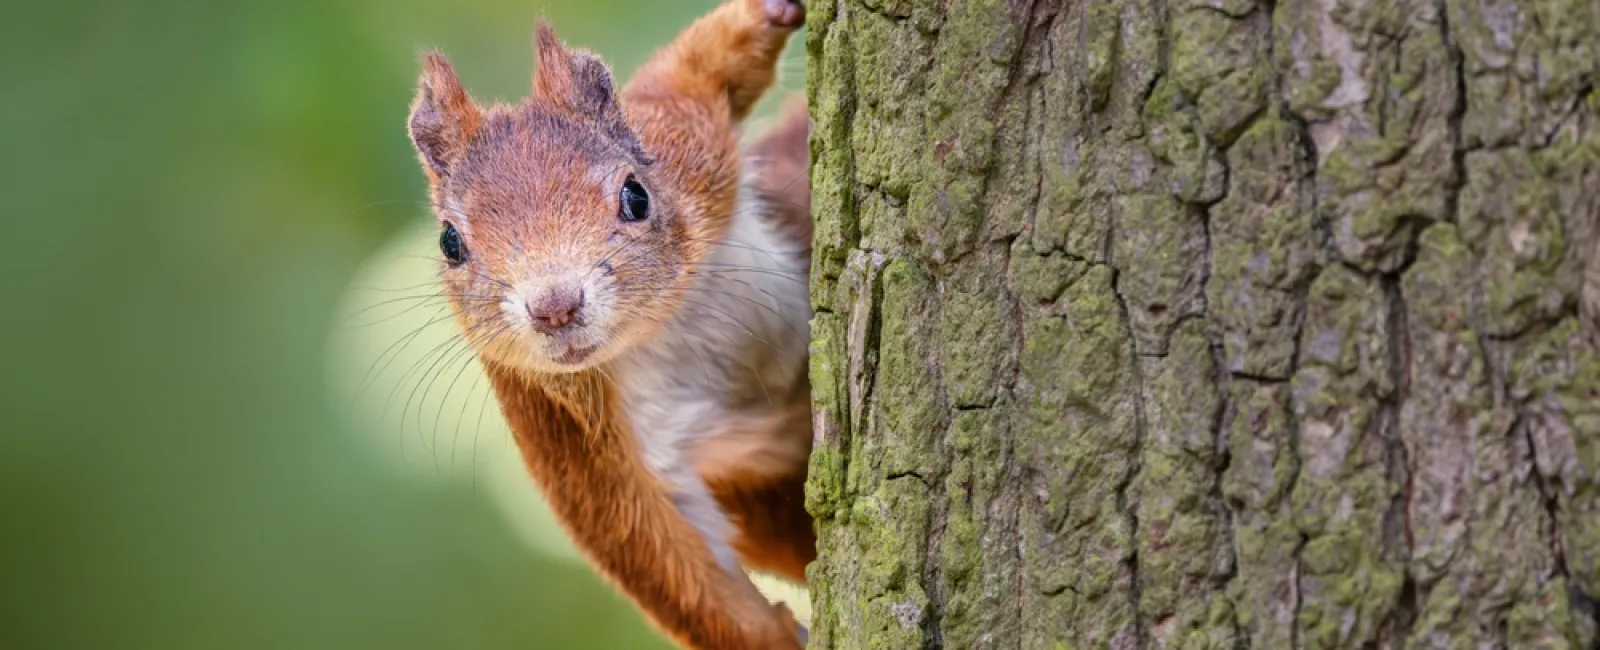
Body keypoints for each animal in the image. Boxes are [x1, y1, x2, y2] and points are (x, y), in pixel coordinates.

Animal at [403, 1, 814, 648]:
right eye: (450, 242)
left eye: (636, 195)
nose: (554, 306)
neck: (662, 328)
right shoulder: (568, 428)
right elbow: (662, 554)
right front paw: (782, 636)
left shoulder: (689, 151)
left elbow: (689, 73)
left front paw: (769, 14)